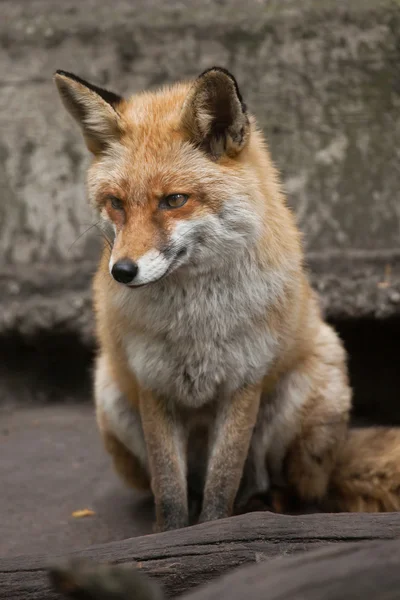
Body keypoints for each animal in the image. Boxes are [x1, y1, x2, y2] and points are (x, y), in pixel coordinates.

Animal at [54, 68, 396, 532]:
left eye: (174, 200)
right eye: (116, 203)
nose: (122, 271)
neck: (194, 323)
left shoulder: (243, 381)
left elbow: (223, 481)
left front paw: (214, 529)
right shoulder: (153, 384)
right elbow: (170, 490)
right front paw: (170, 535)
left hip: (302, 399)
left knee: (287, 485)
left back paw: (263, 504)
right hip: (111, 396)